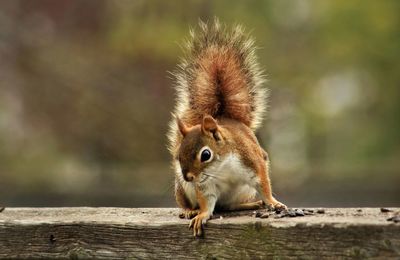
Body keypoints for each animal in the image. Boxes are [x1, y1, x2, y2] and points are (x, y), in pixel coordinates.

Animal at [167, 19, 286, 237]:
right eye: (178, 156)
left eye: (205, 155)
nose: (188, 177)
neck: (221, 167)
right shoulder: (204, 184)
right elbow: (207, 202)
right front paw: (202, 215)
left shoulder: (253, 161)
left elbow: (264, 185)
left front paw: (273, 203)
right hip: (182, 189)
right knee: (207, 205)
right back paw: (189, 210)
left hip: (242, 191)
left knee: (228, 206)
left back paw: (251, 204)